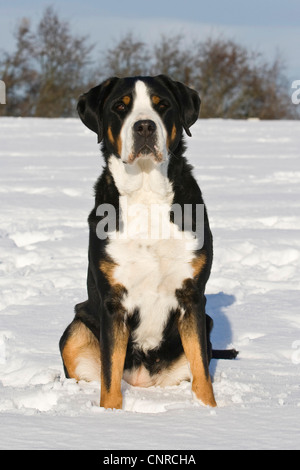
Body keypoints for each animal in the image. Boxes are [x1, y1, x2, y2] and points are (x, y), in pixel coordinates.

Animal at [59, 75, 238, 410]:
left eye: (162, 104)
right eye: (120, 106)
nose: (144, 126)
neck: (146, 194)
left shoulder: (192, 297)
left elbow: (202, 371)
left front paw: (209, 411)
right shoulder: (112, 302)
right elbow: (109, 377)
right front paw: (111, 414)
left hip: (205, 324)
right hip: (76, 329)